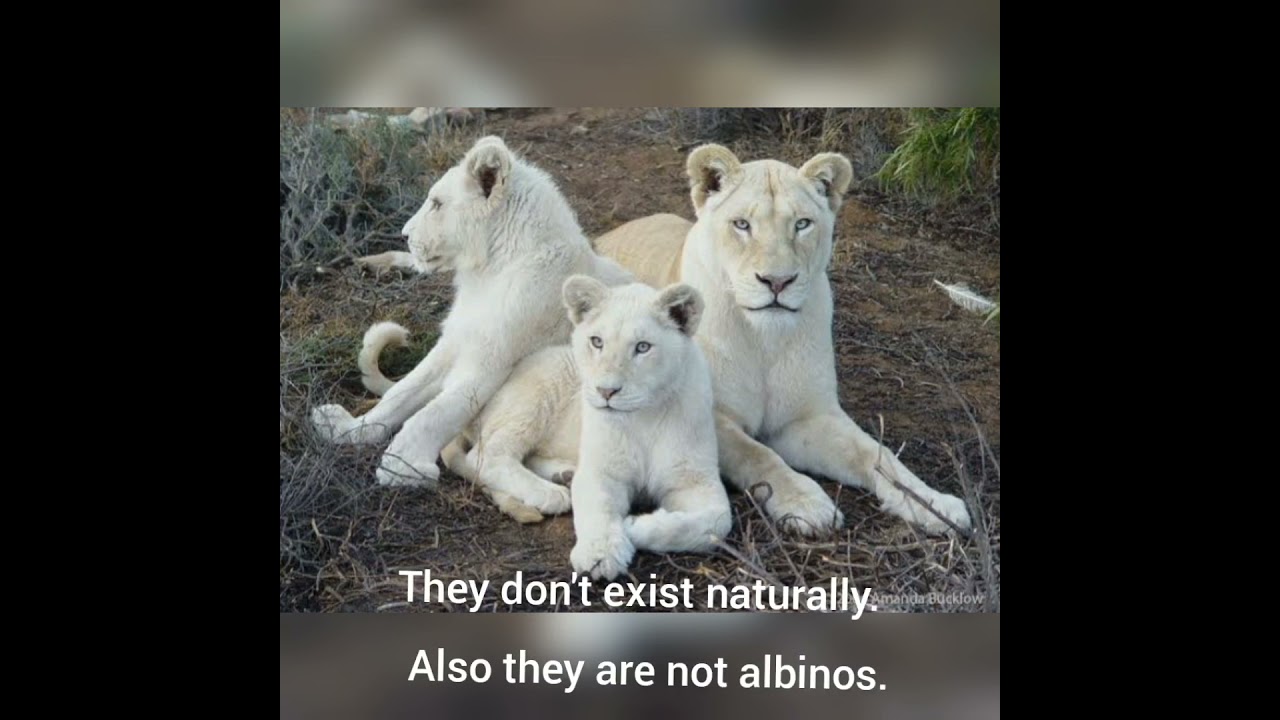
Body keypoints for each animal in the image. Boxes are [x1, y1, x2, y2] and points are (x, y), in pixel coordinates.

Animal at [311, 136, 632, 491]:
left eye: (437, 204)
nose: (404, 235)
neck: (490, 270)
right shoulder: (455, 340)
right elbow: (402, 391)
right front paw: (346, 429)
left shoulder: (489, 362)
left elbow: (434, 414)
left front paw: (401, 468)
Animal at [440, 275, 732, 580]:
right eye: (597, 342)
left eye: (643, 347)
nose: (606, 391)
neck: (644, 416)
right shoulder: (602, 471)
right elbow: (597, 510)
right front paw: (600, 555)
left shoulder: (695, 479)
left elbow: (716, 523)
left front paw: (636, 526)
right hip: (539, 390)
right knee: (486, 455)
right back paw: (550, 493)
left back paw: (564, 475)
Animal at [592, 144, 973, 537]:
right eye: (742, 224)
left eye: (802, 224)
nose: (777, 281)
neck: (765, 339)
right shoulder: (709, 417)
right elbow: (760, 456)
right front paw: (806, 503)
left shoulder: (806, 417)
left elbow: (875, 455)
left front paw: (933, 503)